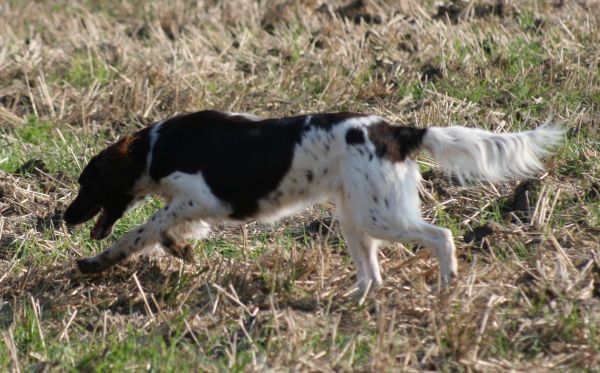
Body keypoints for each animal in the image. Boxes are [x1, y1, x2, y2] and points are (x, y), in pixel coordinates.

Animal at [63, 110, 564, 294]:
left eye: (87, 184)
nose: (65, 218)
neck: (154, 147)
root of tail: (397, 132)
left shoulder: (203, 197)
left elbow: (143, 227)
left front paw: (98, 261)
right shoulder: (195, 207)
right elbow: (162, 229)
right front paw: (178, 248)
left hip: (378, 215)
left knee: (441, 236)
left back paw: (446, 283)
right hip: (354, 216)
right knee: (372, 274)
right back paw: (351, 299)